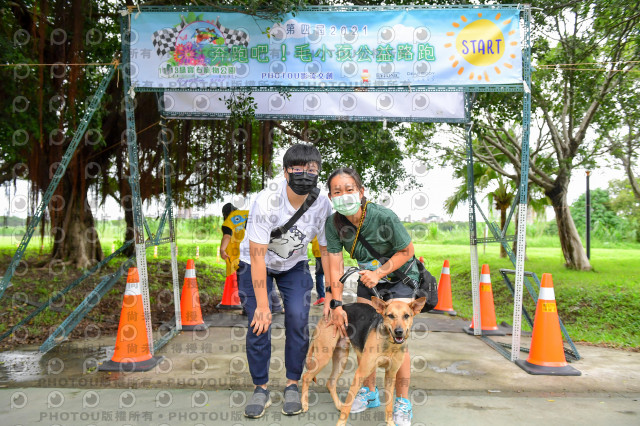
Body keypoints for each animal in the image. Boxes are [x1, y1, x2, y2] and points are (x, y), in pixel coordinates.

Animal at [300, 296, 424, 426]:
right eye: (390, 315)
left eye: (406, 316)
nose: (399, 331)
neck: (390, 344)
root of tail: (327, 315)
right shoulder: (360, 373)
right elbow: (348, 406)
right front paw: (340, 423)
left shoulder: (391, 375)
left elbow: (389, 405)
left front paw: (390, 422)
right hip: (324, 356)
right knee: (306, 376)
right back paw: (304, 404)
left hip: (341, 359)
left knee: (330, 383)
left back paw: (338, 405)